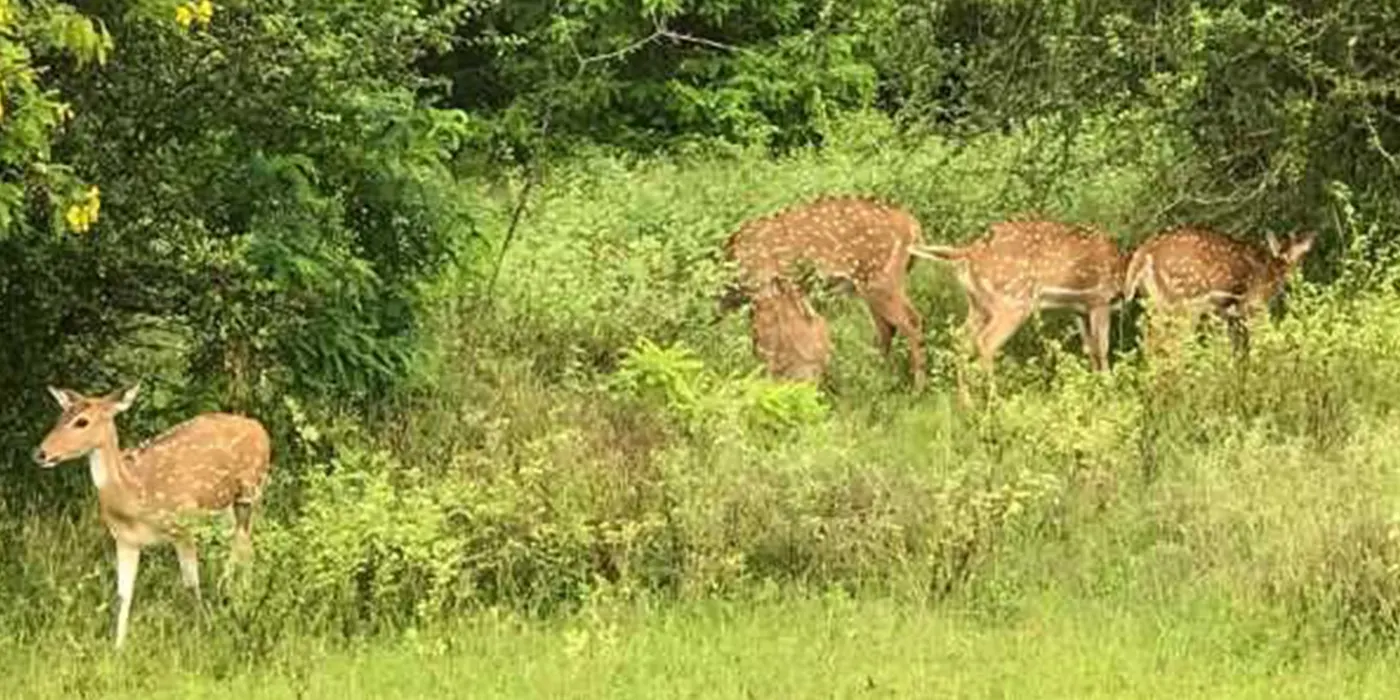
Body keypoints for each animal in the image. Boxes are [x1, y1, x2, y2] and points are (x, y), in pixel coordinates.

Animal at [33, 386, 273, 646]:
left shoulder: (183, 526)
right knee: (241, 546)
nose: (40, 453)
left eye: (82, 421)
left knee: (245, 547)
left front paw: (201, 634)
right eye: (60, 417)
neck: (135, 495)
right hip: (225, 508)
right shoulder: (125, 539)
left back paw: (237, 598)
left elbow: (191, 584)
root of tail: (259, 427)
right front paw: (118, 647)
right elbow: (123, 594)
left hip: (251, 492)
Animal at [722, 196, 929, 389]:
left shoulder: (766, 289)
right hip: (870, 286)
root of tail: (913, 226)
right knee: (886, 327)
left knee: (911, 320)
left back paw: (917, 386)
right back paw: (875, 373)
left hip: (880, 279)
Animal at [912, 221, 1131, 378]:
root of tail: (968, 253)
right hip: (1012, 302)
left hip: (978, 304)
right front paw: (1108, 386)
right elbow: (1102, 348)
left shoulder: (1080, 309)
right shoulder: (1100, 299)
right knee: (986, 341)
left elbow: (1090, 349)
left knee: (960, 339)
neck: (1123, 268)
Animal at [1120, 224, 1316, 355]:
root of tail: (1143, 253)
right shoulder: (1255, 304)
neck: (1271, 272)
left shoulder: (1224, 312)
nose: (1296, 277)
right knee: (1171, 342)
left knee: (1150, 339)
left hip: (1155, 301)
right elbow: (1259, 337)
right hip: (1183, 302)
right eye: (1297, 257)